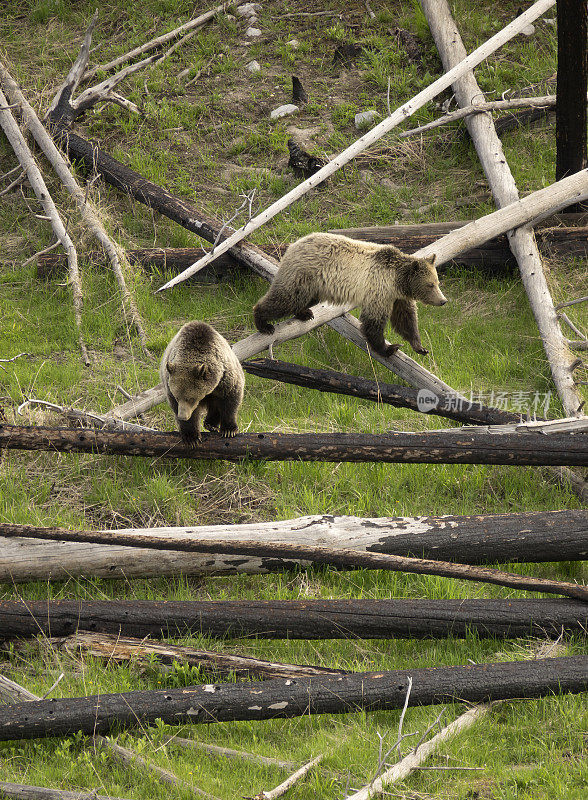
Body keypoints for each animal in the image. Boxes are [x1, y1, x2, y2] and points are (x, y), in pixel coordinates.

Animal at [252, 231, 446, 356]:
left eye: (437, 282)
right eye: (430, 285)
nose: (443, 300)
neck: (397, 280)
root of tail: (294, 244)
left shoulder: (397, 296)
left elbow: (405, 319)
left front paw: (420, 346)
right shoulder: (379, 289)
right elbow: (373, 323)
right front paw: (388, 348)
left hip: (315, 285)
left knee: (305, 299)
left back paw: (304, 313)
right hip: (304, 273)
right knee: (286, 298)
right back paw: (263, 323)